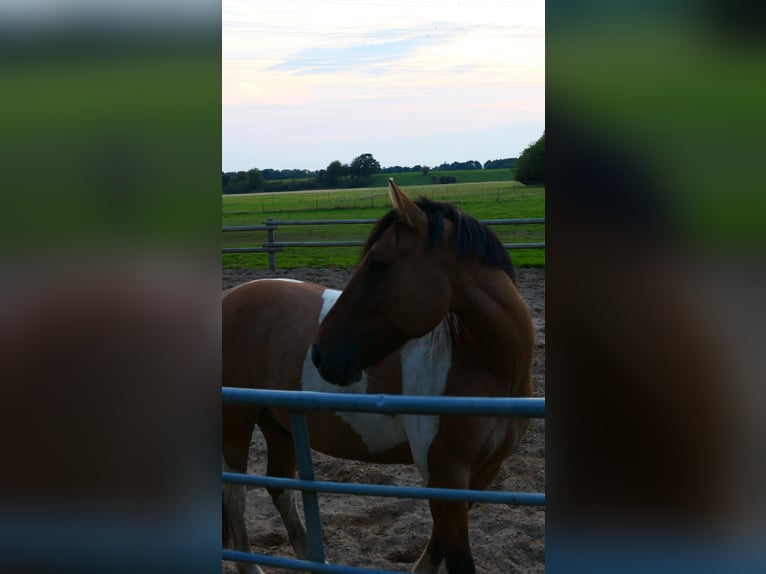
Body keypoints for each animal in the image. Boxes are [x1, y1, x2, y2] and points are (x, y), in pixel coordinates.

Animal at [222, 179, 534, 574]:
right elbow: (457, 558)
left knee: (281, 488)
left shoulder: (481, 476)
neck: (486, 366)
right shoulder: (445, 474)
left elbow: (435, 551)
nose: (320, 354)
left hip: (278, 423)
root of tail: (227, 298)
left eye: (379, 264)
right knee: (234, 494)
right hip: (236, 419)